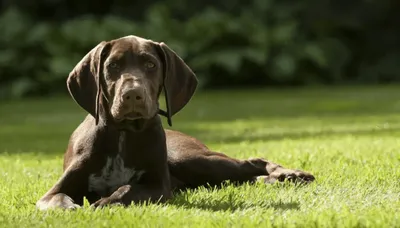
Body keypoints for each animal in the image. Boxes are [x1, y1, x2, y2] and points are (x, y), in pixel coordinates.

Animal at [36, 35, 314, 210]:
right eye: (112, 65)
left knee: (251, 162)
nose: (132, 95)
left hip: (190, 159)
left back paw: (289, 174)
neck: (123, 134)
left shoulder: (158, 186)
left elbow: (127, 189)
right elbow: (57, 200)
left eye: (151, 64)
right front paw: (71, 208)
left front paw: (104, 202)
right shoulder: (52, 193)